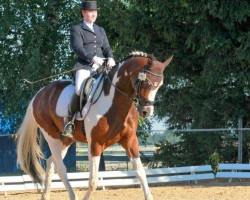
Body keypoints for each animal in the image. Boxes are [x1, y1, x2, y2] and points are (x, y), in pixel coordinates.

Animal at [16, 52, 173, 200]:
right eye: (146, 83)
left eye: (160, 85)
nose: (146, 112)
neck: (115, 103)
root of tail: (40, 93)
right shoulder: (95, 144)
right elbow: (93, 181)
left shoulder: (130, 140)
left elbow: (140, 172)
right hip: (52, 136)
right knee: (60, 167)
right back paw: (73, 196)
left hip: (65, 140)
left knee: (51, 163)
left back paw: (46, 196)